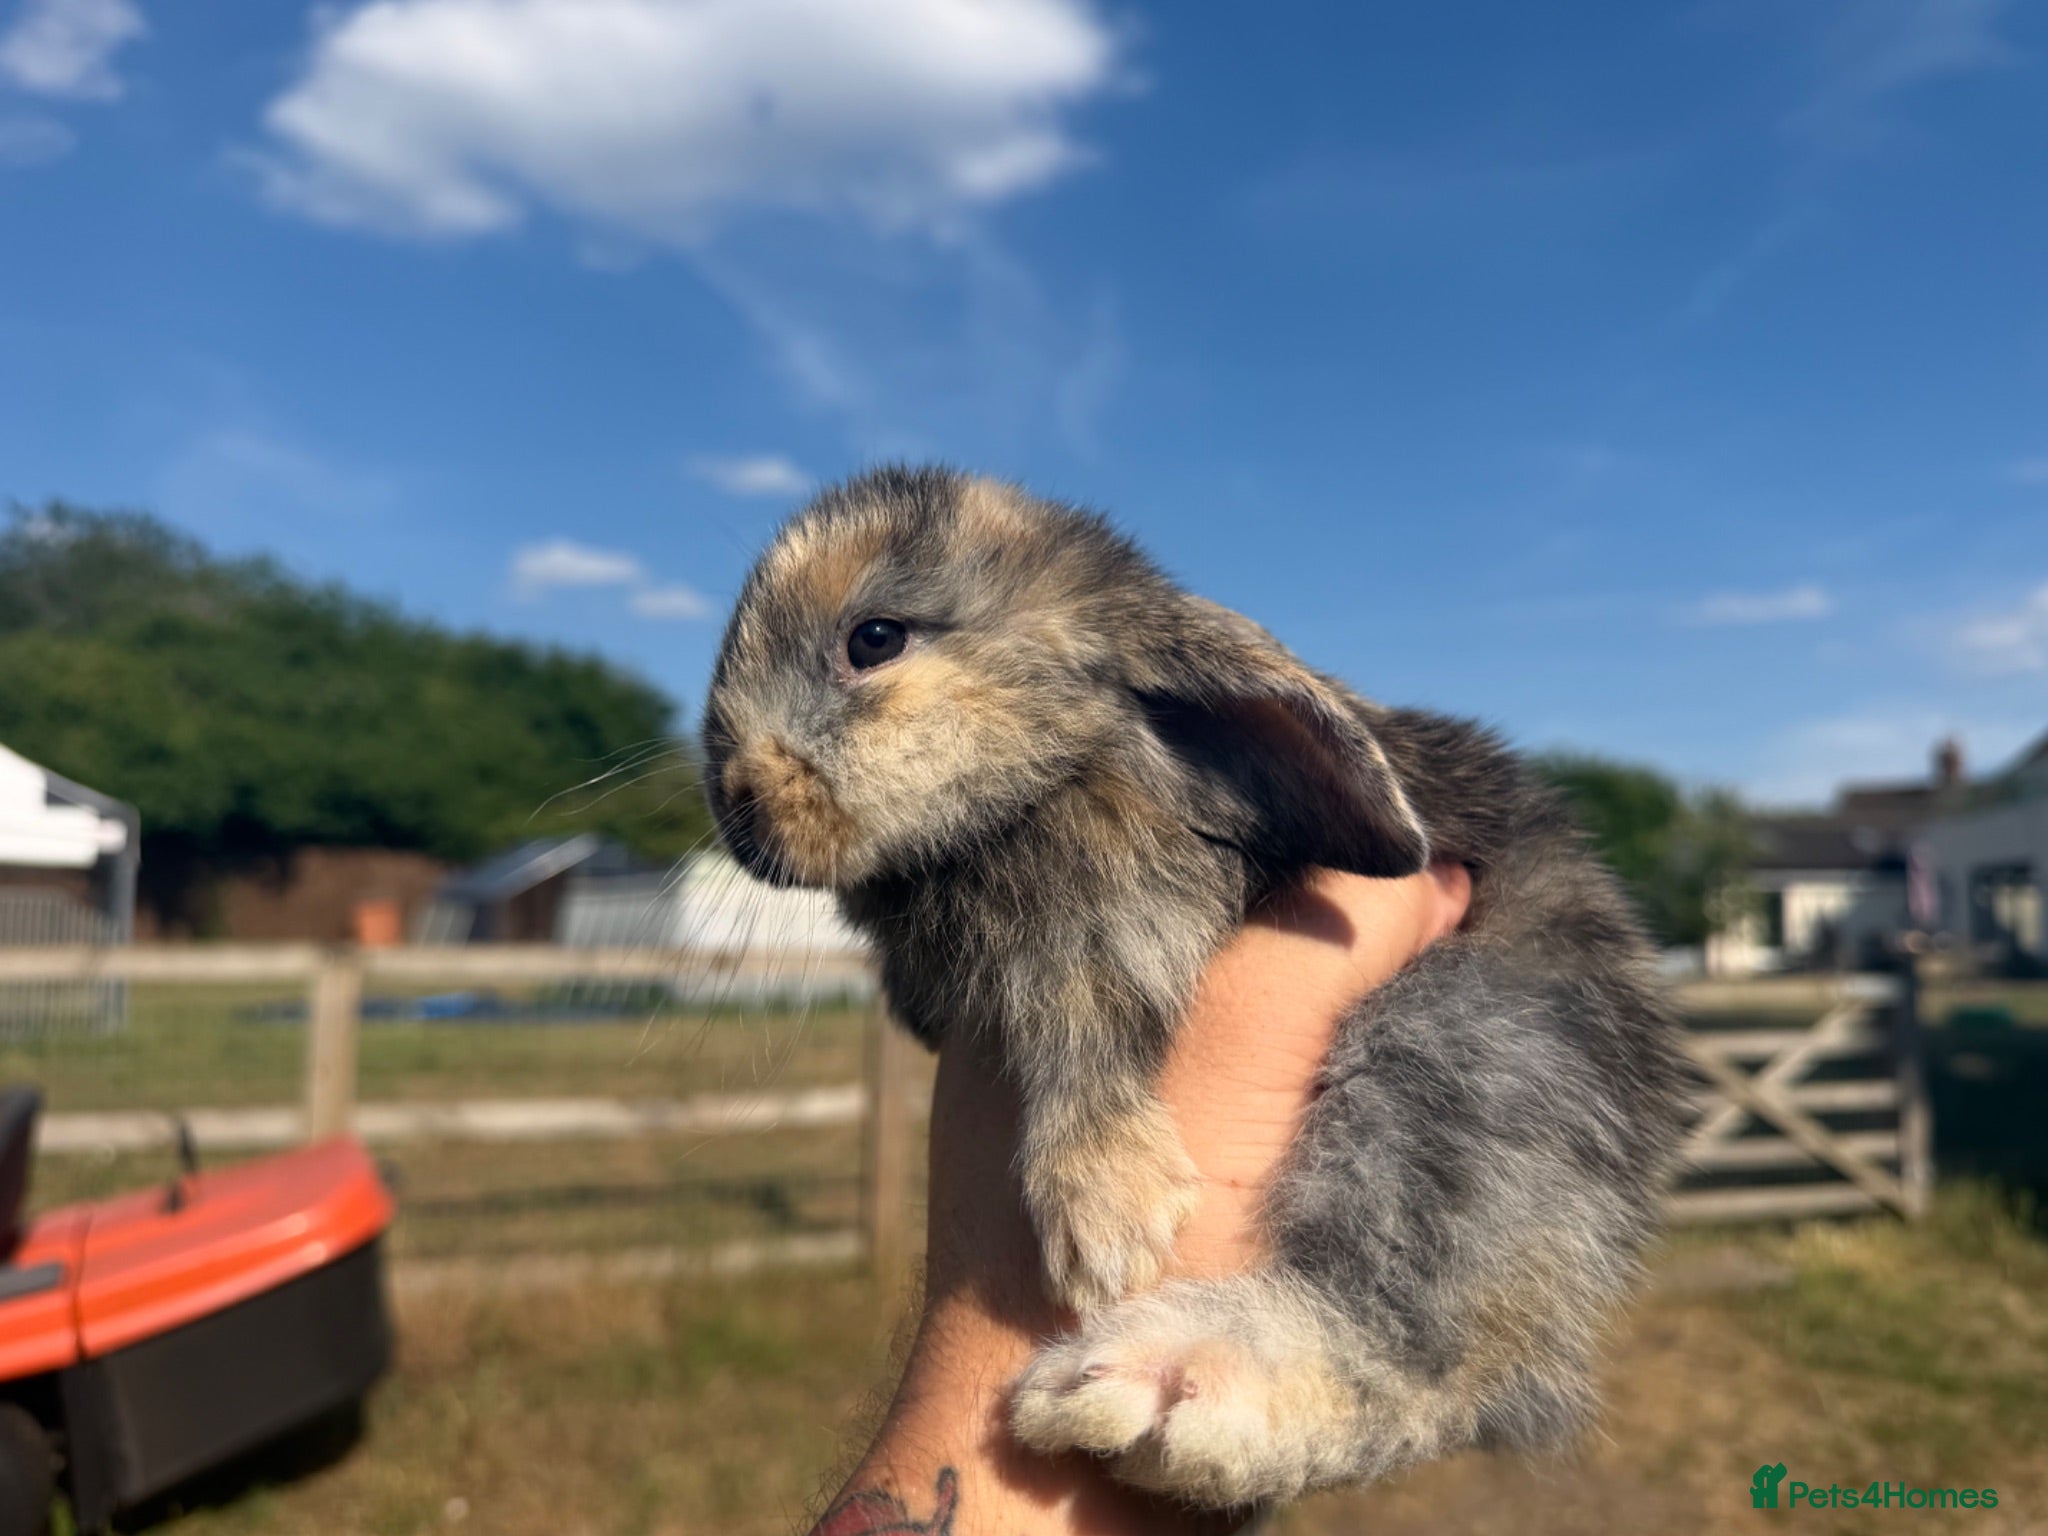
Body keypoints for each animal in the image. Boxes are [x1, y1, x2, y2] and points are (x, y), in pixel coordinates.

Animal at [700, 466, 1685, 1508]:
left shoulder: (1112, 929)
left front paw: (1106, 1222)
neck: (1060, 767)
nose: (735, 801)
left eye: (875, 639)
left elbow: (1082, 1039)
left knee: (1433, 1359)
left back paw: (1159, 1385)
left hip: (1459, 1065)